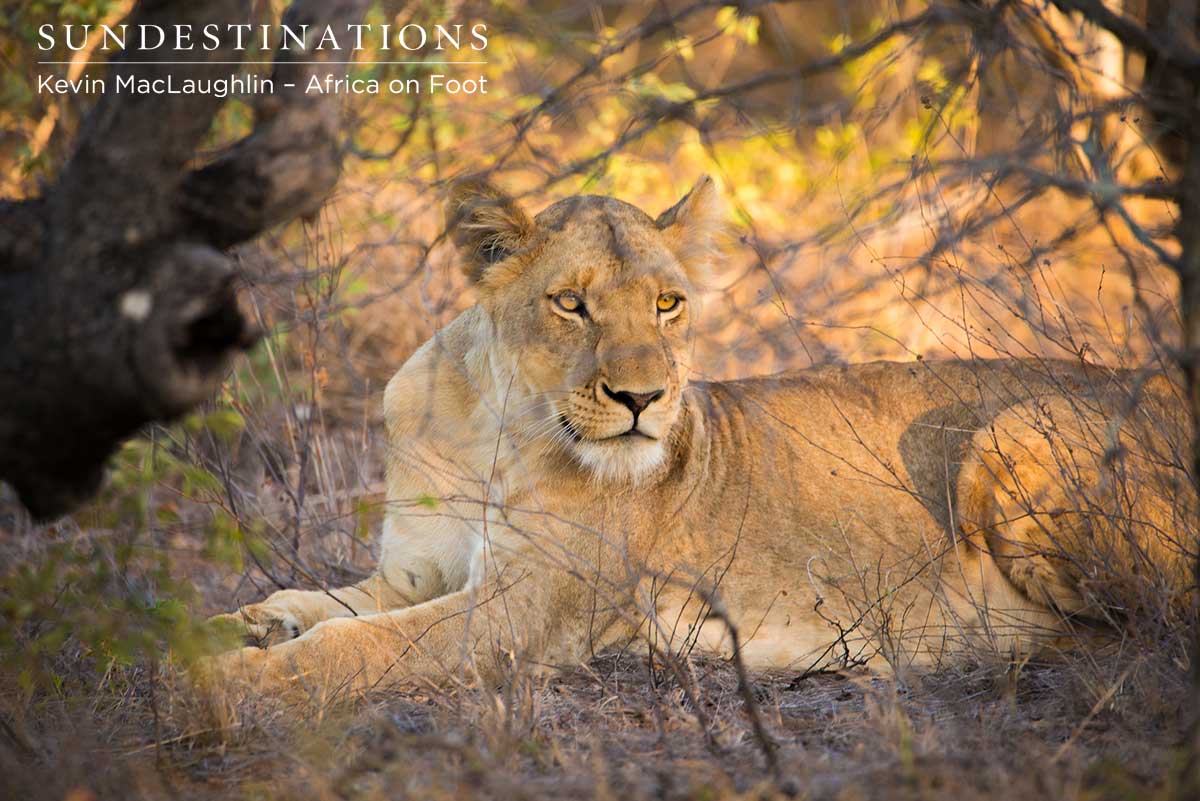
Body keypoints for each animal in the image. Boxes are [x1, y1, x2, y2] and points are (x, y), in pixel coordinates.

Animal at [203, 177, 1194, 703]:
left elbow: (350, 646)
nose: (644, 397)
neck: (496, 424)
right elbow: (313, 601)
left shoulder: (526, 613)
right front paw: (213, 631)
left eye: (668, 303)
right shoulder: (415, 574)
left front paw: (220, 689)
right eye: (572, 302)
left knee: (1151, 632)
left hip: (1013, 430)